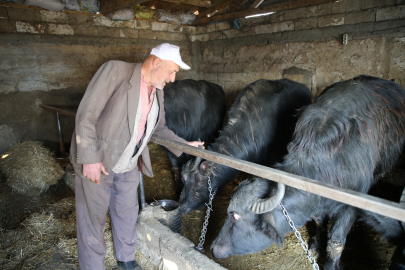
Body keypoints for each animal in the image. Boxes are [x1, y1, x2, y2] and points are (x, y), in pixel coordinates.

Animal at [210, 75, 404, 270]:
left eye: (235, 216)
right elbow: (318, 221)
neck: (326, 163)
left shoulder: (350, 207)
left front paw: (330, 265)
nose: (213, 247)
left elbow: (336, 241)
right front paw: (316, 246)